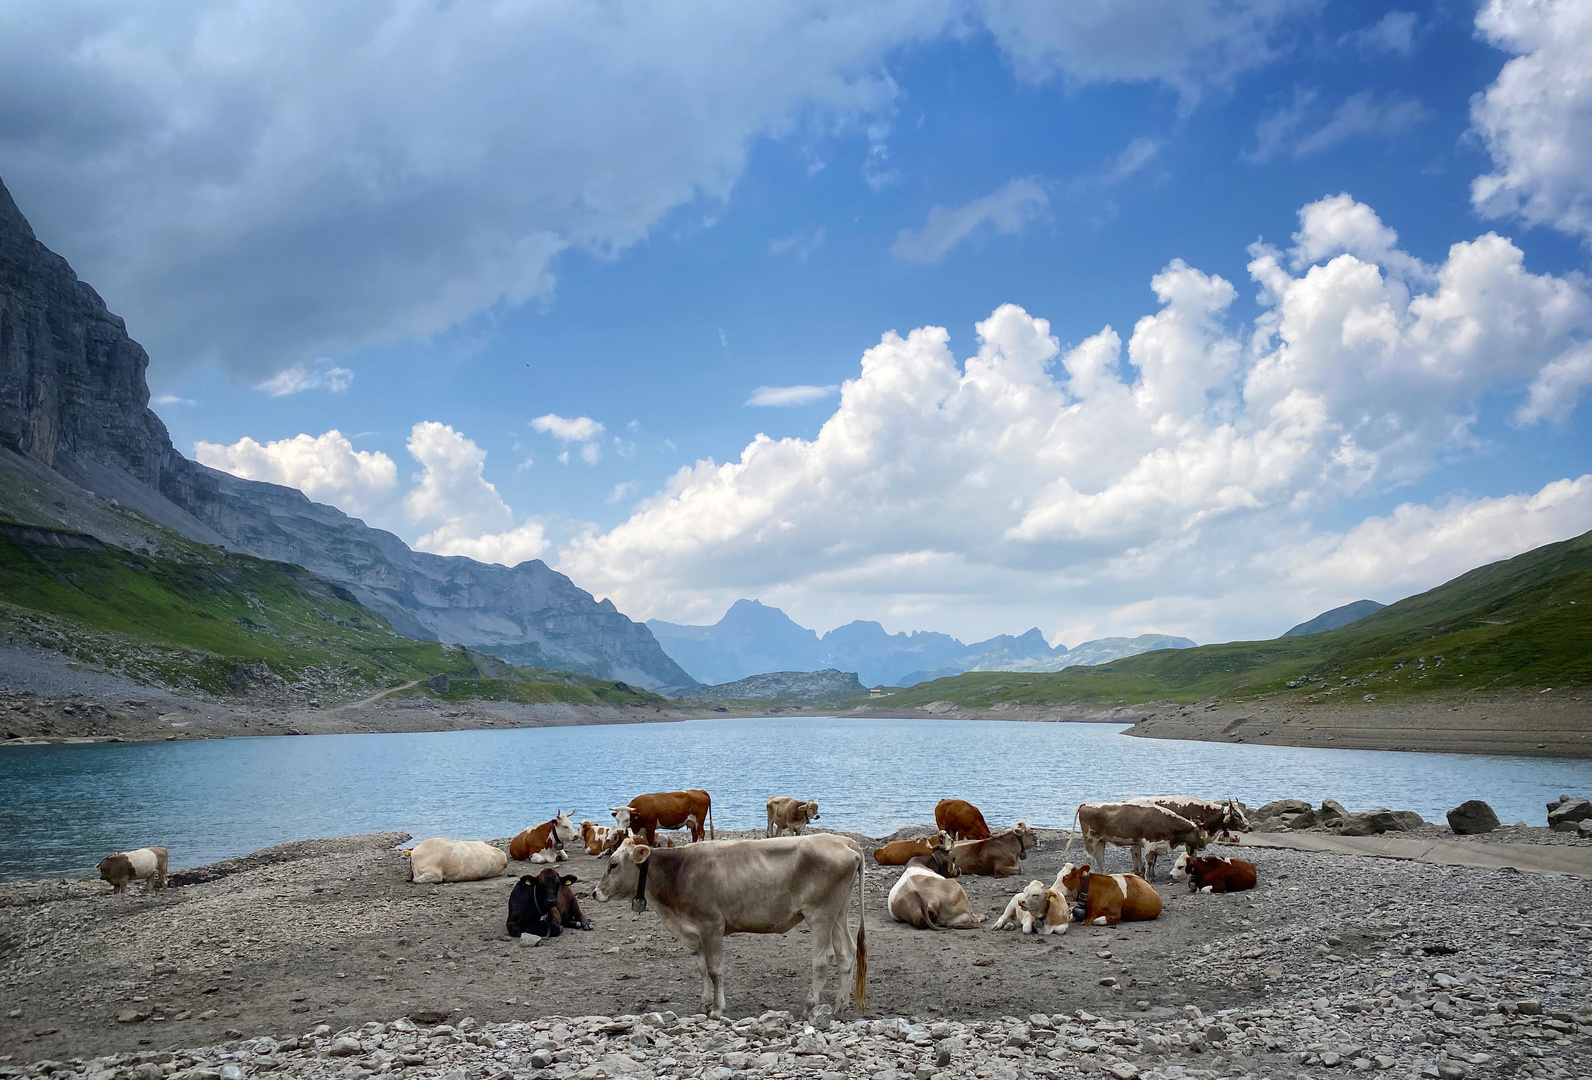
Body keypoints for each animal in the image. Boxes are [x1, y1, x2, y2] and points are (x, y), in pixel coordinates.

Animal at [595, 834, 866, 1025]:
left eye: (613, 864)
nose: (595, 893)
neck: (679, 871)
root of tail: (845, 841)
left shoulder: (711, 925)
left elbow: (715, 970)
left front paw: (717, 1009)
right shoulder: (697, 930)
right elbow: (702, 968)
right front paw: (704, 1003)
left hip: (820, 915)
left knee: (821, 961)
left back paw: (809, 1007)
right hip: (838, 913)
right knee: (846, 953)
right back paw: (840, 1007)